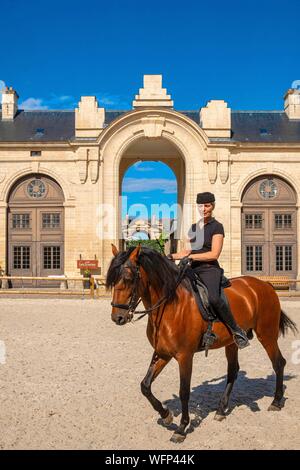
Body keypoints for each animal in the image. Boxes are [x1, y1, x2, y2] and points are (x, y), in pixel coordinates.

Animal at [107, 244, 298, 442]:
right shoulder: (162, 353)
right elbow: (145, 386)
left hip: (267, 334)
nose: (117, 317)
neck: (169, 306)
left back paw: (276, 401)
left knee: (278, 363)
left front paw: (181, 428)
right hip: (232, 342)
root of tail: (265, 284)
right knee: (233, 371)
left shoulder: (185, 356)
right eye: (112, 280)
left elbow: (184, 391)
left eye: (128, 278)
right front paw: (166, 415)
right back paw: (221, 410)